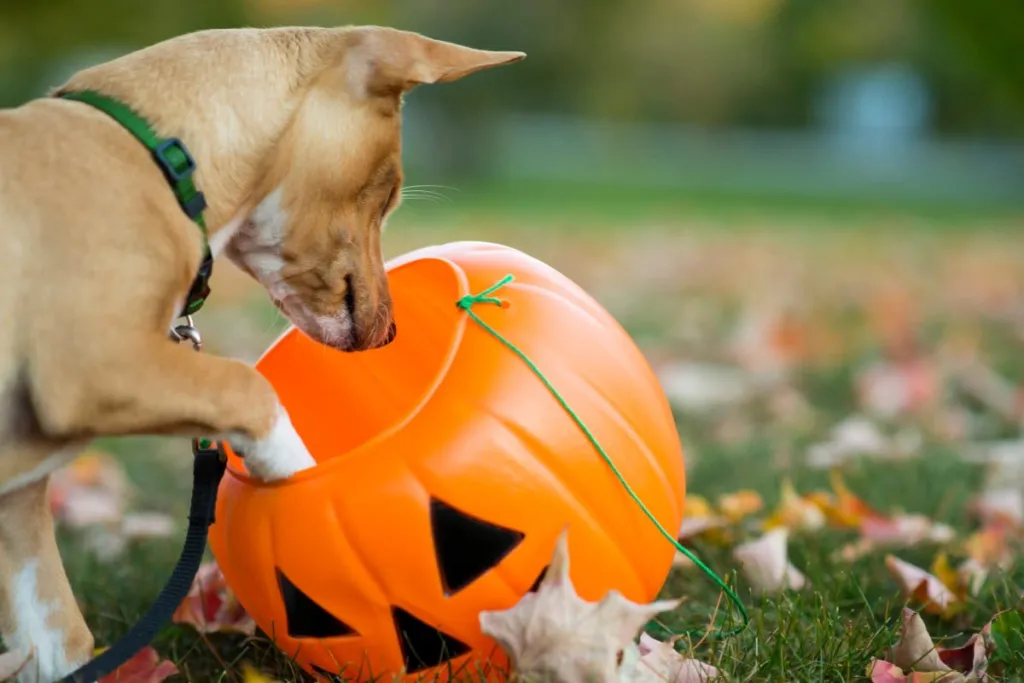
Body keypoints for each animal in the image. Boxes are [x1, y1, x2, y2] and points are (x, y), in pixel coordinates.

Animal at [0, 24, 520, 679]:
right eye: (388, 196)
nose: (390, 334)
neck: (160, 156)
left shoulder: (18, 503)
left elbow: (60, 637)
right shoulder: (92, 363)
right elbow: (247, 387)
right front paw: (299, 478)